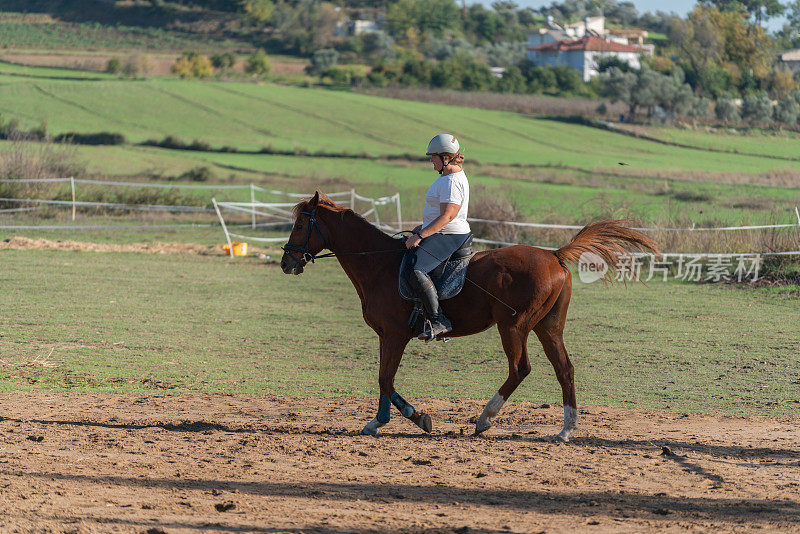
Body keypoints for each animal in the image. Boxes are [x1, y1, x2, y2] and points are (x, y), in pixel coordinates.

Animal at [282, 193, 656, 444]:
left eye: (300, 224)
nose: (287, 263)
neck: (379, 265)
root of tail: (553, 255)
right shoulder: (386, 336)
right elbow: (384, 381)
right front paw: (378, 422)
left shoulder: (395, 335)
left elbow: (385, 380)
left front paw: (418, 418)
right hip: (547, 328)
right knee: (565, 370)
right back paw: (566, 429)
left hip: (513, 326)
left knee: (520, 369)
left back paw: (484, 419)